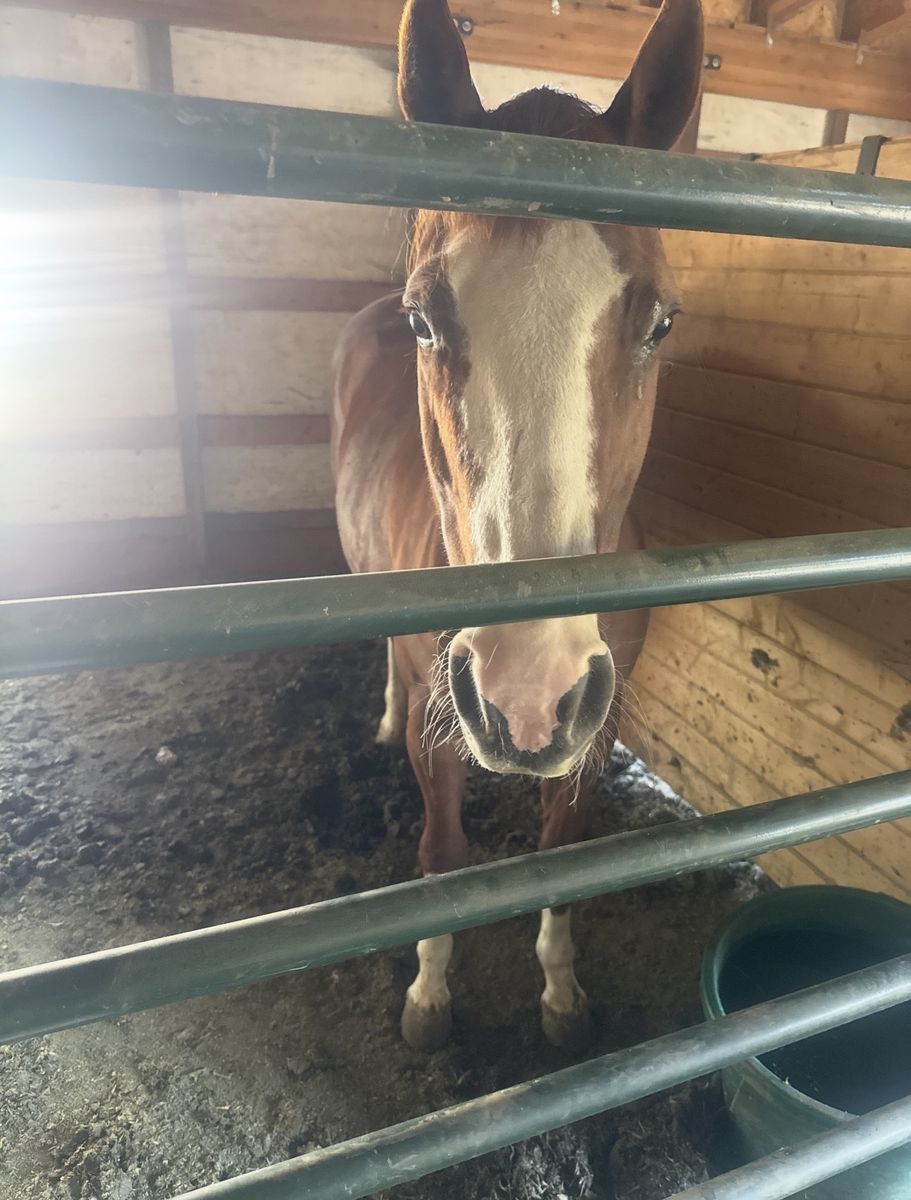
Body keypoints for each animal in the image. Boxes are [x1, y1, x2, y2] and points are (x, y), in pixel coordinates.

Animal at [332, 0, 704, 1053]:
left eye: (660, 323)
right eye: (424, 320)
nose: (525, 692)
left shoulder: (598, 719)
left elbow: (562, 853)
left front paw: (561, 995)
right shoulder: (439, 708)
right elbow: (442, 854)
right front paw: (428, 995)